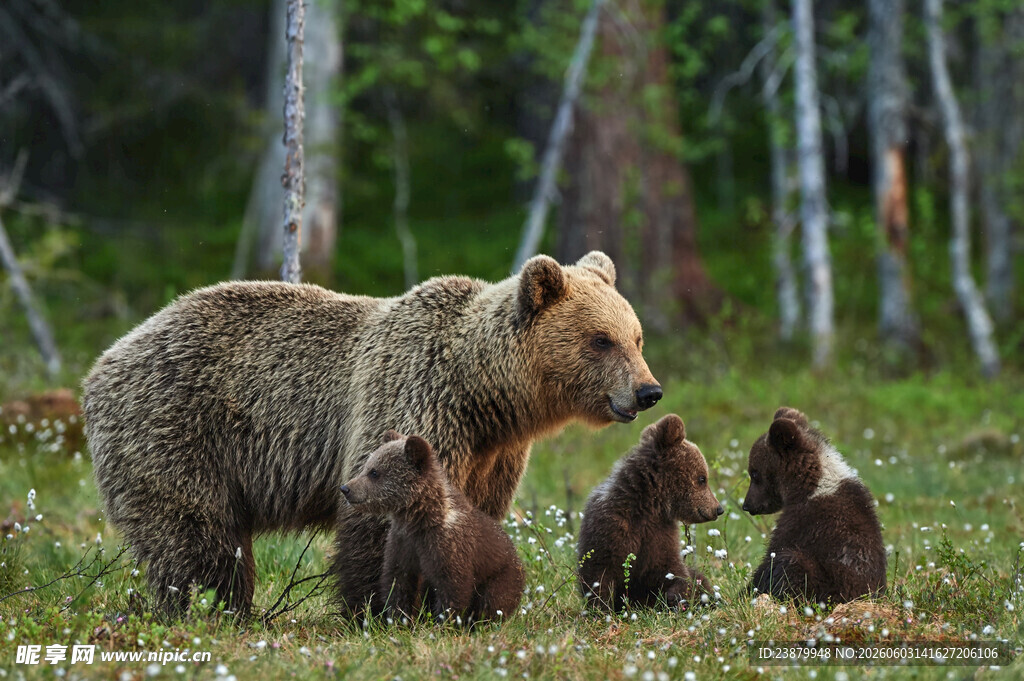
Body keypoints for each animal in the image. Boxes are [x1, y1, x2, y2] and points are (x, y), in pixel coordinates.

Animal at [341, 431, 525, 624]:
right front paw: (399, 619)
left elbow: (452, 588)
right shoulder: (402, 543)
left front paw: (444, 622)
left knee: (492, 601)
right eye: (367, 466)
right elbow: (398, 583)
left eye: (374, 472)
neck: (419, 518)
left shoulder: (448, 546)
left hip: (501, 576)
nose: (345, 488)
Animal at [577, 414, 724, 612]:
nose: (718, 508)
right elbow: (599, 573)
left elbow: (673, 571)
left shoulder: (660, 534)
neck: (649, 505)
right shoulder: (611, 526)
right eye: (702, 478)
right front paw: (600, 609)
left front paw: (677, 597)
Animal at [742, 407, 887, 604]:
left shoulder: (805, 523)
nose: (747, 505)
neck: (810, 486)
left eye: (755, 473)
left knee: (791, 562)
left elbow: (773, 554)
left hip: (827, 585)